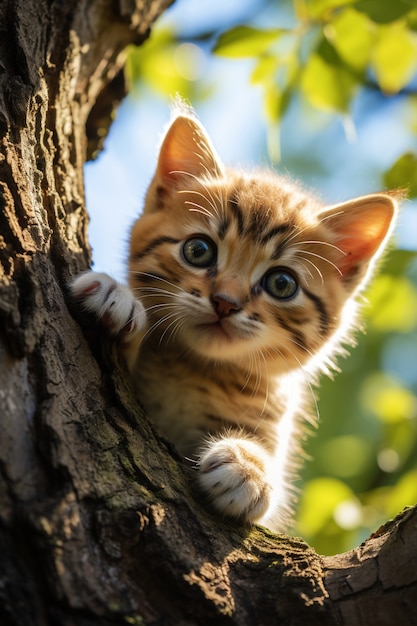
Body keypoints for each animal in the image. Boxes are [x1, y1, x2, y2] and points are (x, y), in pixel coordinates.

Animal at [72, 105, 396, 528]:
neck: (195, 370)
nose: (225, 302)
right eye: (198, 251)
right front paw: (117, 296)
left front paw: (250, 471)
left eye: (281, 283)